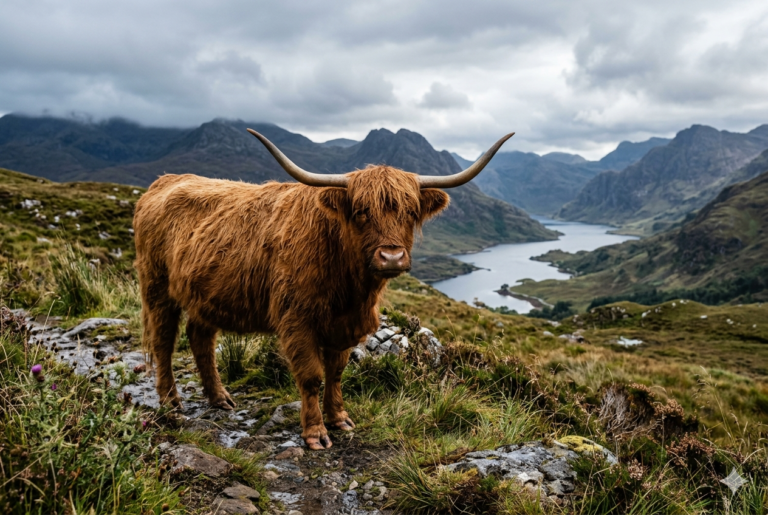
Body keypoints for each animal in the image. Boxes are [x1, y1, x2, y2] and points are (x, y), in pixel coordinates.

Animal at [133, 129, 513, 450]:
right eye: (361, 211)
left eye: (410, 211)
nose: (391, 256)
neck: (350, 288)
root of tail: (165, 181)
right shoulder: (296, 321)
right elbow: (311, 376)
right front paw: (315, 433)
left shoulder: (342, 326)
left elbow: (336, 371)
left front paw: (339, 418)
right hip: (157, 288)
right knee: (164, 341)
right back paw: (171, 400)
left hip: (205, 295)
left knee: (201, 340)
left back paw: (219, 397)